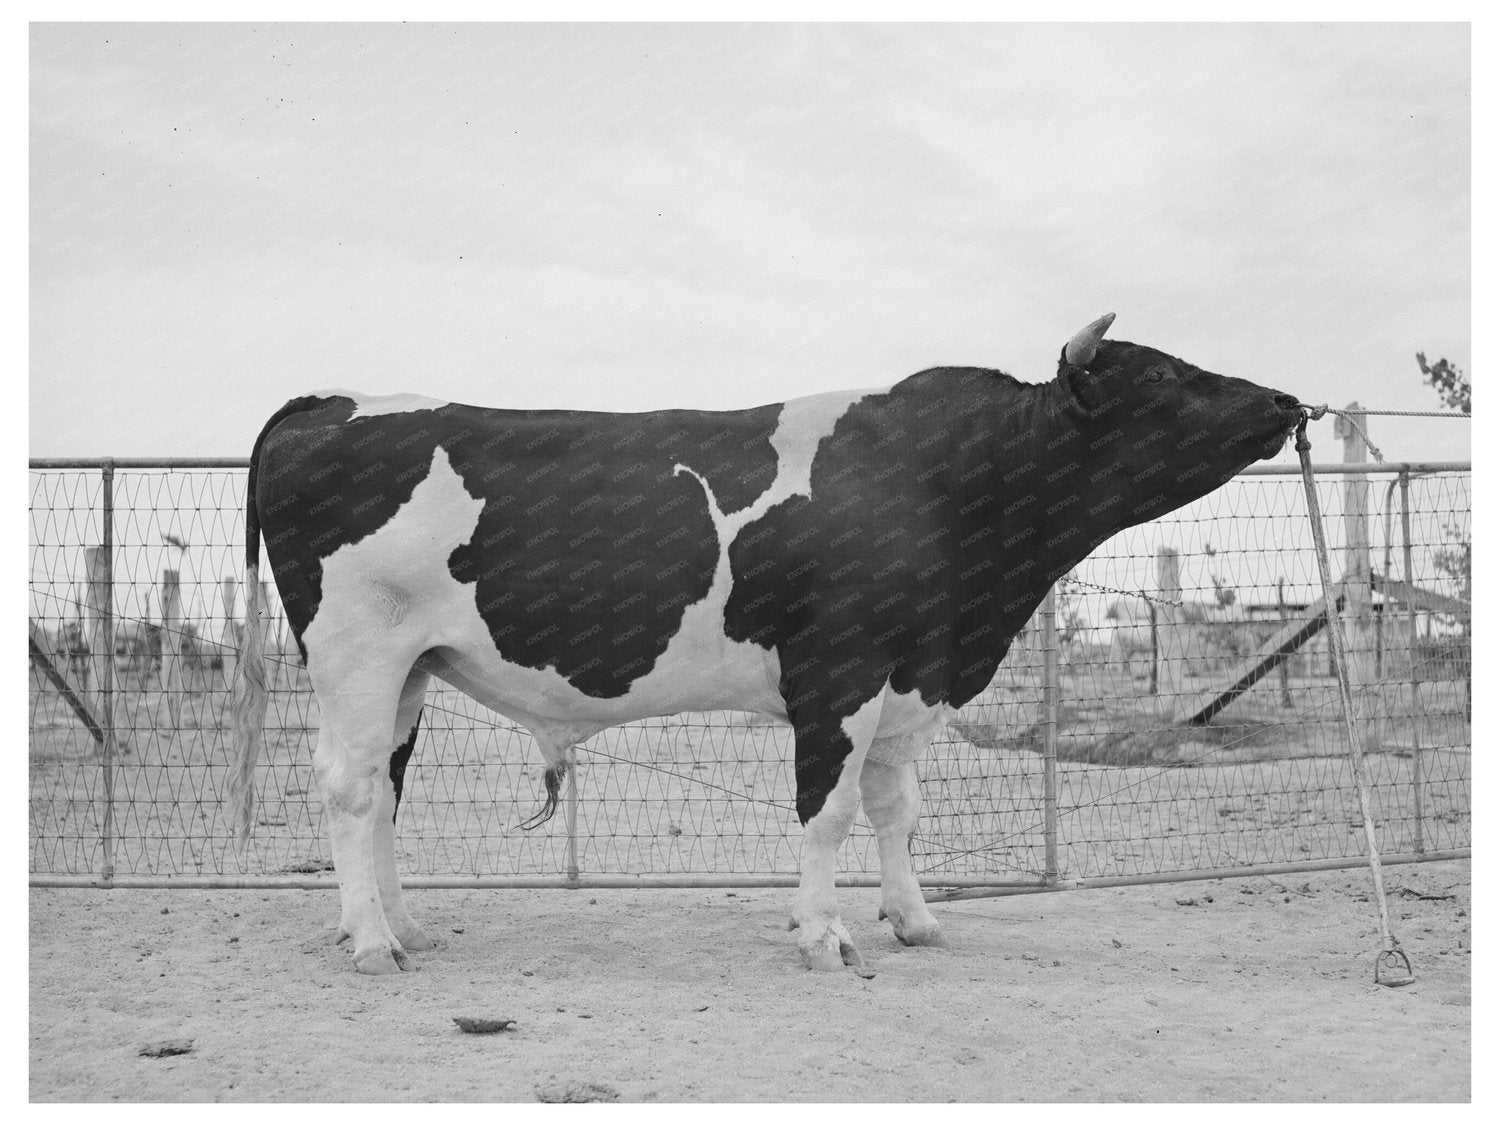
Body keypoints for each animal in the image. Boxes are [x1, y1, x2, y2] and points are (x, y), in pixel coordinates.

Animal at [230, 313, 1300, 975]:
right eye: (1159, 374)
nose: (1288, 403)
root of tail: (330, 401)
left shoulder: (910, 676)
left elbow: (897, 809)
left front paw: (913, 918)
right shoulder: (840, 672)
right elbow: (827, 812)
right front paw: (823, 936)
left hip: (410, 671)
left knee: (385, 790)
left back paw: (403, 922)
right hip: (357, 654)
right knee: (351, 786)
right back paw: (371, 942)